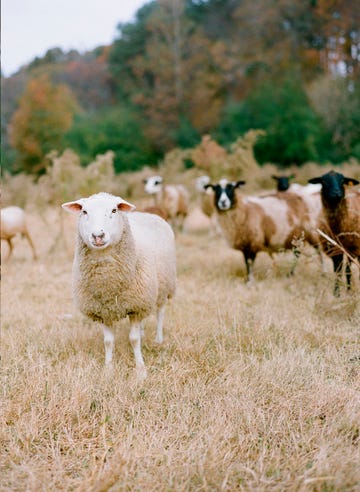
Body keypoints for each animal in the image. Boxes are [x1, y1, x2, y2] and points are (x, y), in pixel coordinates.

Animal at [62, 190, 177, 378]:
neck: (108, 282)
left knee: (160, 312)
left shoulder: (136, 306)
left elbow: (134, 339)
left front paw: (140, 370)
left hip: (164, 285)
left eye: (114, 210)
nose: (98, 236)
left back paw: (159, 339)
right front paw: (108, 369)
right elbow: (108, 341)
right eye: (84, 212)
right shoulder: (104, 310)